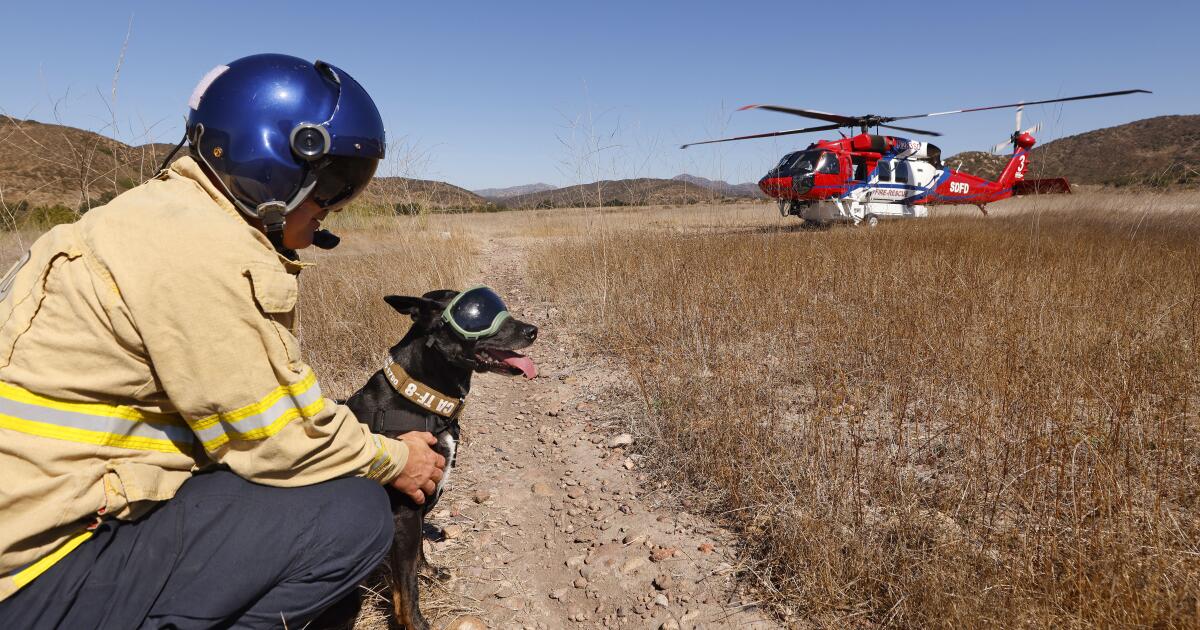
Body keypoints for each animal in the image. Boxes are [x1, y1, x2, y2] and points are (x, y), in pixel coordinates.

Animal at [345, 289, 537, 628]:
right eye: (477, 316)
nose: (533, 331)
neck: (421, 398)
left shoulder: (420, 504)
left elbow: (416, 557)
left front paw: (428, 572)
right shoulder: (405, 512)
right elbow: (406, 588)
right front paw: (415, 622)